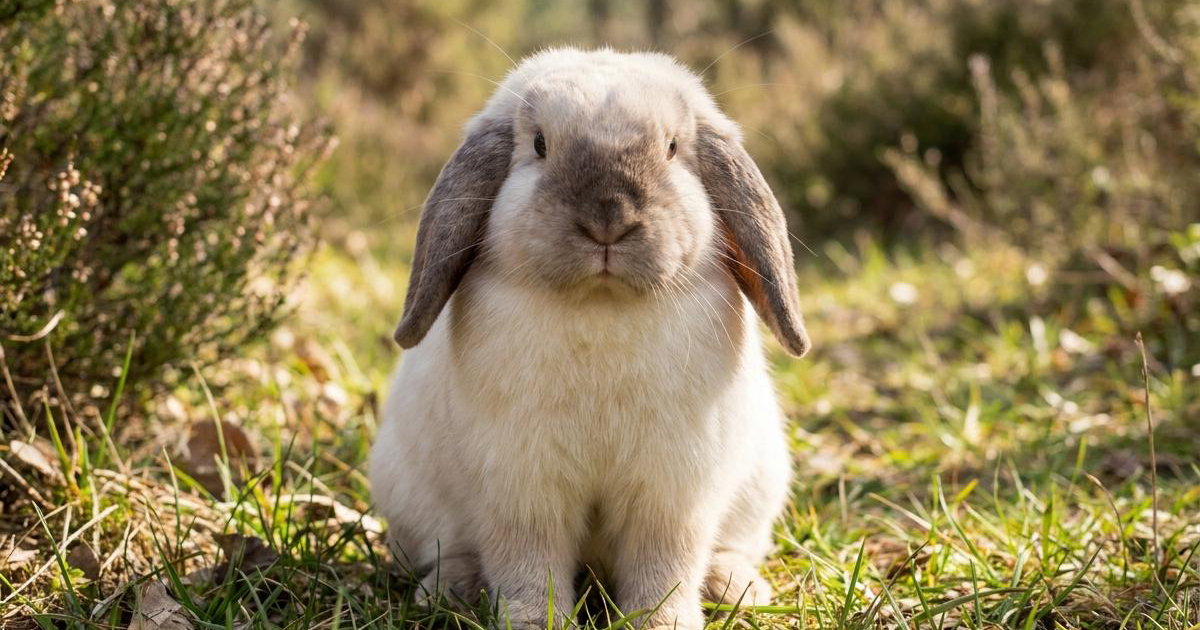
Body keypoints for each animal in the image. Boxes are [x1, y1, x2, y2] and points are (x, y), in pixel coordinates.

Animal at [369, 47, 809, 630]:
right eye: (539, 145)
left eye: (673, 147)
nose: (608, 218)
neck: (602, 306)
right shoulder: (522, 492)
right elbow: (528, 567)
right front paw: (534, 623)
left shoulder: (670, 497)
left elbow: (664, 570)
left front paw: (664, 623)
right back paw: (450, 589)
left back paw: (734, 586)